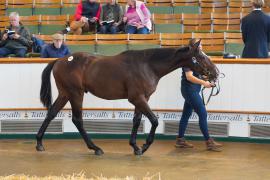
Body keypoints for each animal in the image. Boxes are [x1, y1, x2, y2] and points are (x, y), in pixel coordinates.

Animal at [35, 40, 218, 155]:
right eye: (201, 56)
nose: (215, 73)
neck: (148, 66)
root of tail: (60, 60)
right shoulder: (137, 98)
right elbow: (154, 120)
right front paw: (144, 146)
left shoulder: (142, 99)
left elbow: (137, 120)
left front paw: (135, 147)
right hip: (76, 94)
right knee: (77, 119)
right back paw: (95, 148)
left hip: (65, 93)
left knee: (51, 113)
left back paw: (39, 143)